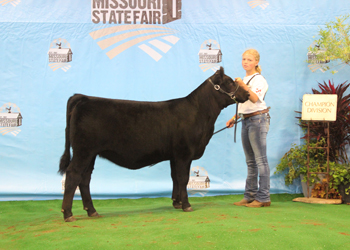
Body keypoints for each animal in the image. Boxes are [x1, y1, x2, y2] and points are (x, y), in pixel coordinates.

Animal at [58, 67, 249, 222]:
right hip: (83, 151)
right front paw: (186, 205)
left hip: (91, 153)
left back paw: (92, 211)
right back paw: (68, 214)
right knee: (73, 175)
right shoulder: (184, 153)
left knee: (84, 179)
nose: (247, 95)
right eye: (230, 82)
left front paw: (176, 202)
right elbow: (183, 178)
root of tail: (83, 98)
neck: (198, 113)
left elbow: (175, 178)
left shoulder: (174, 156)